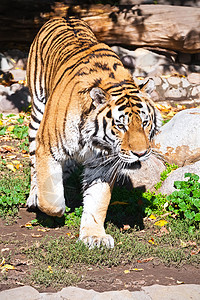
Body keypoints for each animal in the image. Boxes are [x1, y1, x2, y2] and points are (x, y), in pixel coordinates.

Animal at [26, 17, 162, 248]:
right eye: (121, 126)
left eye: (144, 123)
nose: (141, 153)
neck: (92, 140)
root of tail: (64, 17)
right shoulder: (47, 147)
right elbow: (51, 198)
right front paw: (58, 208)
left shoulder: (103, 164)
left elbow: (98, 201)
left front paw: (94, 236)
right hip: (37, 111)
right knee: (34, 163)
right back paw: (34, 195)